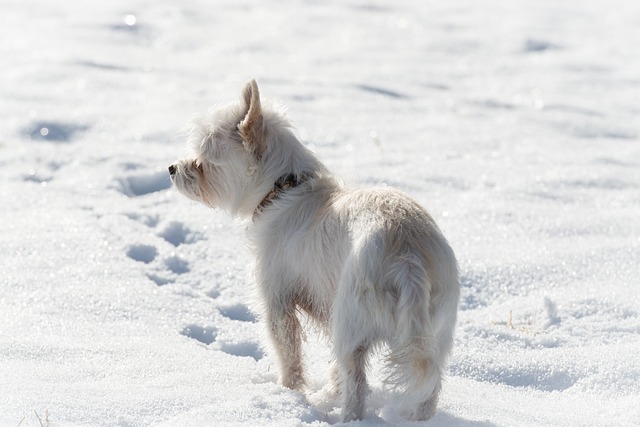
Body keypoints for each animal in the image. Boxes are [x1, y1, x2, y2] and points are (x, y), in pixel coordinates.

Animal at [169, 79, 460, 422]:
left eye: (203, 160)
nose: (172, 168)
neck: (282, 189)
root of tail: (408, 257)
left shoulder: (278, 300)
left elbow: (288, 353)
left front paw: (289, 392)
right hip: (436, 332)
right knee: (429, 384)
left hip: (350, 323)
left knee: (357, 382)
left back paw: (347, 418)